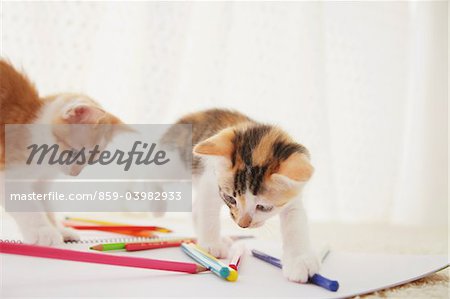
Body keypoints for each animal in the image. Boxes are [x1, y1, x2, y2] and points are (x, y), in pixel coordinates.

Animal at [0, 60, 127, 246]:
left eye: (89, 161)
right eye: (74, 153)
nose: (74, 174)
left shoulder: (41, 183)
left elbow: (46, 206)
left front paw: (59, 230)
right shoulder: (9, 174)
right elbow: (28, 206)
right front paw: (44, 232)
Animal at [171, 109, 318, 284]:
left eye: (263, 207)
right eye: (230, 199)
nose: (242, 225)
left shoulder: (294, 196)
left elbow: (295, 223)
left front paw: (299, 261)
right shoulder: (210, 180)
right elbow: (208, 212)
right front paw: (212, 245)